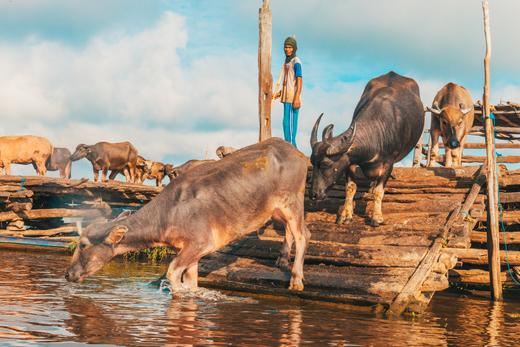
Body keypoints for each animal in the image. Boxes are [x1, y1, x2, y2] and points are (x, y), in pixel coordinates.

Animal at [64, 139, 308, 294]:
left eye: (83, 245)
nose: (67, 274)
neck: (168, 215)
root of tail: (297, 153)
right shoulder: (191, 252)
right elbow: (192, 284)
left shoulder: (201, 243)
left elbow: (172, 274)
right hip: (276, 210)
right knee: (291, 231)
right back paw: (282, 260)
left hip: (292, 202)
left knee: (303, 234)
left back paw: (296, 279)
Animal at [308, 72, 422, 227]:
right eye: (312, 163)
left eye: (325, 164)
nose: (313, 194)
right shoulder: (350, 163)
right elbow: (350, 188)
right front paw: (346, 215)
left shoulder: (388, 163)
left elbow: (379, 191)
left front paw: (377, 217)